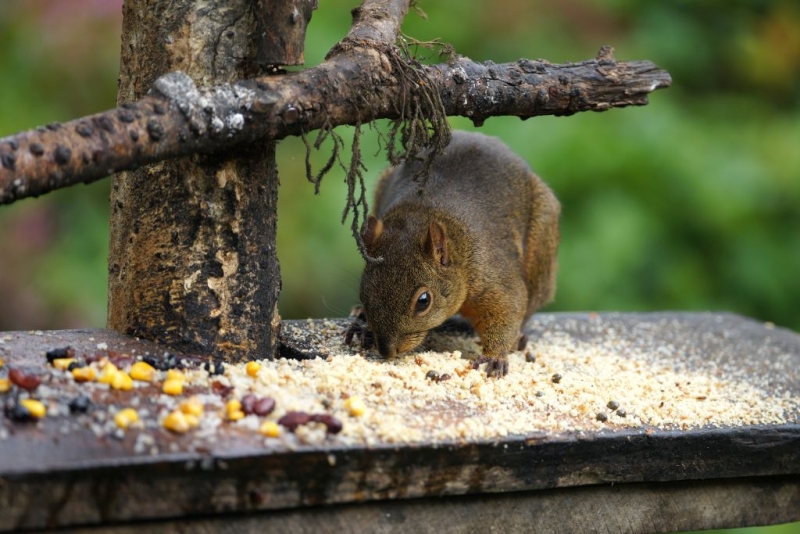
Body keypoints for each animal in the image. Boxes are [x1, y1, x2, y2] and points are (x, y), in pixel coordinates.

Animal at [360, 132, 560, 378]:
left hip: (542, 242)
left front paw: (494, 357)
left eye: (423, 301)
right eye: (364, 293)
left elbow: (508, 306)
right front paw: (363, 329)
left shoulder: (491, 274)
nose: (387, 350)